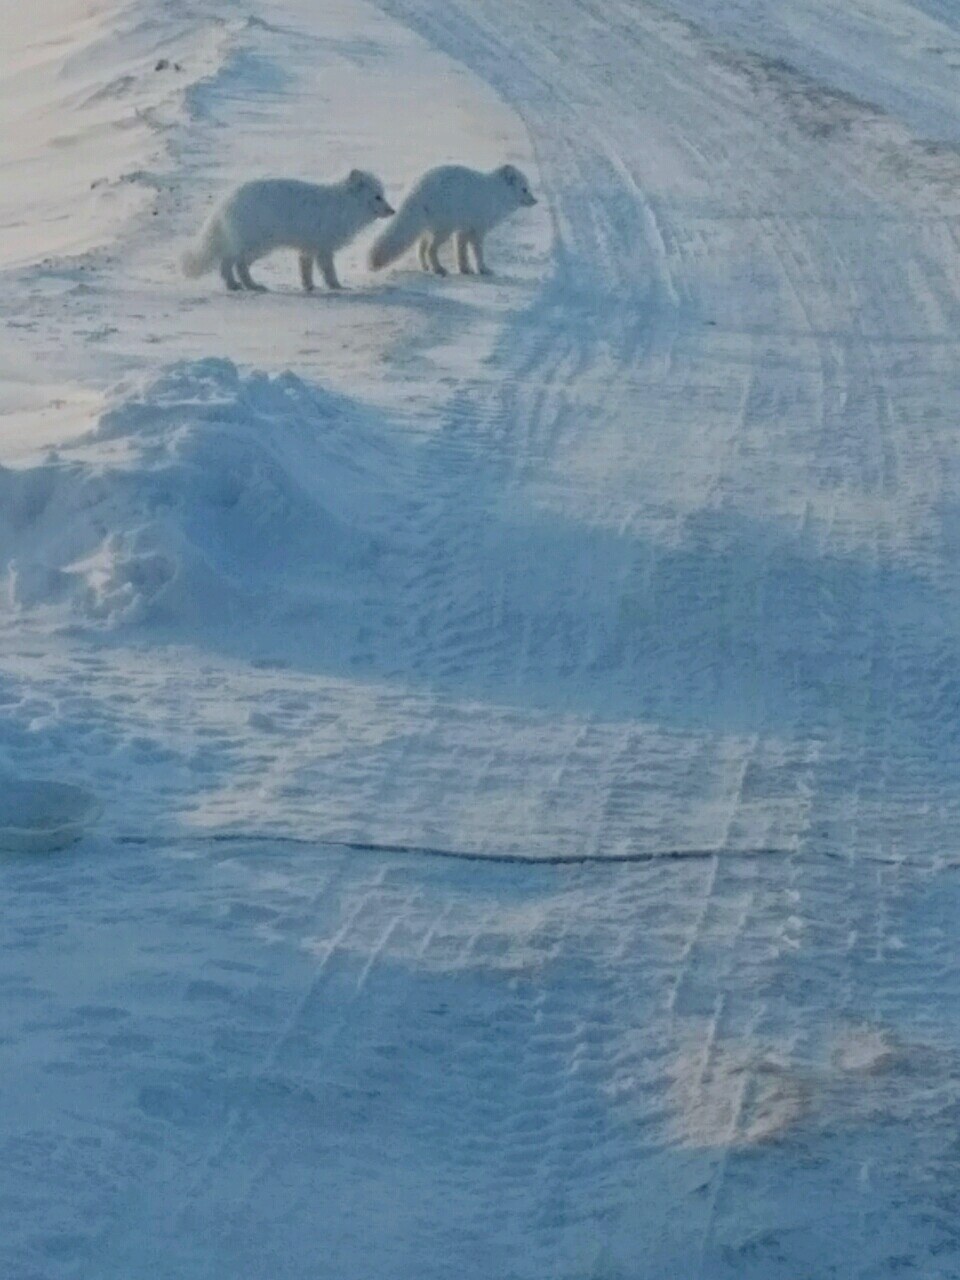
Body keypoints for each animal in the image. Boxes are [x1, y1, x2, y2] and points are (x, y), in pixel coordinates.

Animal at [180, 171, 394, 293]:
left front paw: (309, 287)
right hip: (256, 245)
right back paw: (246, 285)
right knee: (233, 264)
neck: (344, 206)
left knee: (230, 264)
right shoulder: (324, 248)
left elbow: (305, 270)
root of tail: (225, 202)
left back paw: (240, 285)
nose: (392, 211)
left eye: (383, 196)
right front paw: (337, 287)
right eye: (377, 197)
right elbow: (329, 271)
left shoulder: (308, 248)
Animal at [368, 163, 537, 276]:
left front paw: (465, 270)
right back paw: (438, 269)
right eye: (524, 189)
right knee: (430, 249)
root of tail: (416, 190)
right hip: (444, 230)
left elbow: (461, 252)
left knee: (420, 248)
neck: (497, 193)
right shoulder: (477, 231)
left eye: (529, 188)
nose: (535, 201)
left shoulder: (462, 230)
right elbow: (477, 253)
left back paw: (426, 267)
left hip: (429, 228)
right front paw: (483, 269)